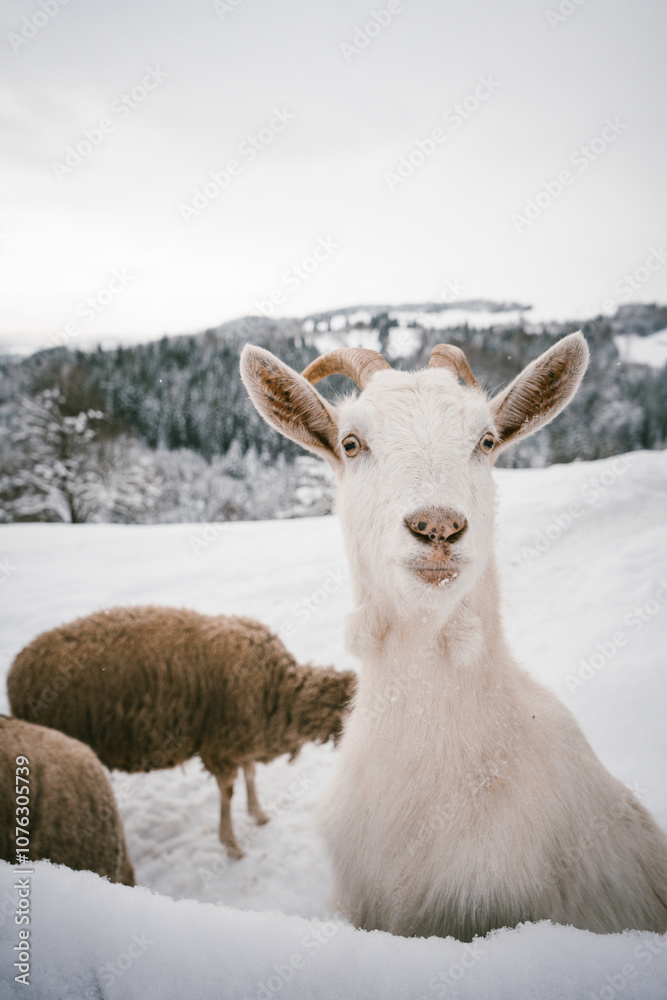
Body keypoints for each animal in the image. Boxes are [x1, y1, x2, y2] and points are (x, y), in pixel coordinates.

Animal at [7, 606, 356, 859]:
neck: (279, 692)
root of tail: (16, 672)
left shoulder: (243, 735)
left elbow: (251, 773)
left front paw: (257, 813)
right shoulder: (221, 744)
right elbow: (228, 791)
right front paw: (231, 844)